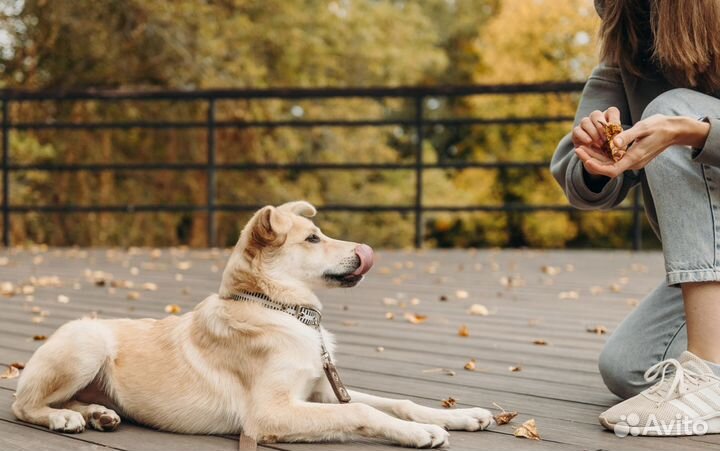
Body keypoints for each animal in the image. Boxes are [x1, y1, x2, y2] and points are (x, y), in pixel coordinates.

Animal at [12, 202, 496, 448]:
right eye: (313, 238)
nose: (365, 250)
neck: (279, 309)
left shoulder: (320, 390)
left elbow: (396, 402)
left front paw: (460, 416)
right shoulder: (268, 413)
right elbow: (361, 411)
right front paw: (421, 433)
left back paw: (96, 413)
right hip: (86, 342)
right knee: (24, 405)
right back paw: (64, 419)